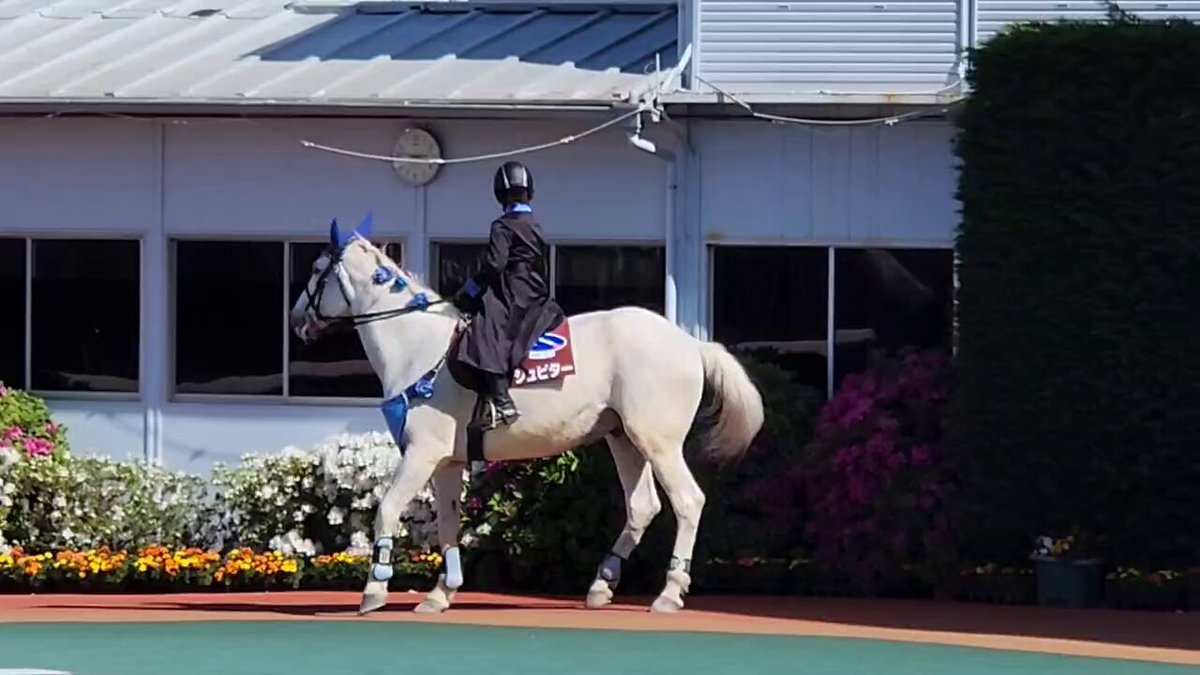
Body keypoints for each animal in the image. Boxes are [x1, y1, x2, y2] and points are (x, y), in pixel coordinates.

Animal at [288, 213, 765, 615]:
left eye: (316, 268)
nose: (295, 320)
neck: (419, 347)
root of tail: (690, 343)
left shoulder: (421, 454)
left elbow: (387, 510)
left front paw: (375, 589)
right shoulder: (447, 462)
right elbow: (448, 524)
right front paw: (442, 594)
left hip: (658, 442)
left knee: (688, 501)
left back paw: (668, 593)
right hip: (624, 438)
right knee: (642, 507)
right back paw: (601, 584)